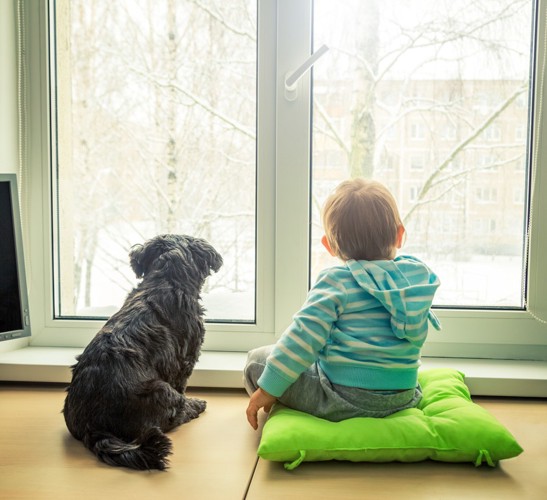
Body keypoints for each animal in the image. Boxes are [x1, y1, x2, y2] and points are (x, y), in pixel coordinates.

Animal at [61, 233, 220, 468]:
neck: (165, 280)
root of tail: (93, 427)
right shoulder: (184, 361)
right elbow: (182, 386)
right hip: (161, 390)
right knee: (173, 414)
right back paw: (195, 406)